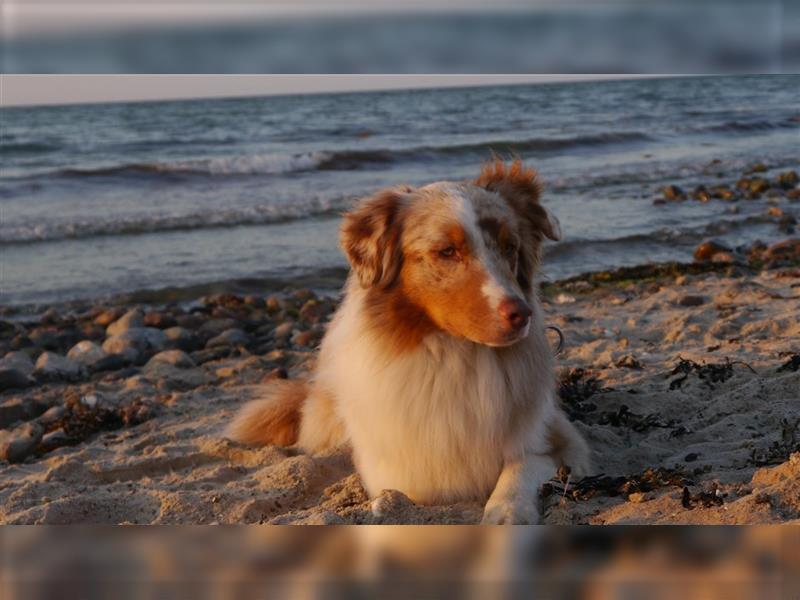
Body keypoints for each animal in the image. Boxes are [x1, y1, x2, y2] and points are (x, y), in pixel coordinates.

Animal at [228, 161, 592, 524]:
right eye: (447, 251)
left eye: (510, 248)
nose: (522, 314)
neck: (458, 356)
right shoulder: (401, 472)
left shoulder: (556, 436)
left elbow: (521, 467)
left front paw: (507, 510)